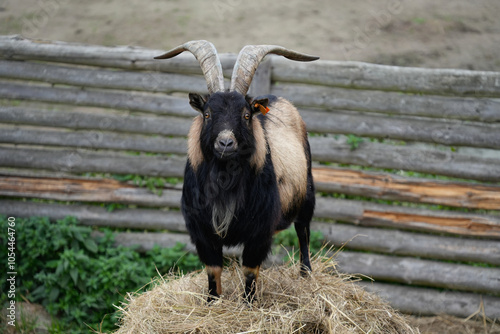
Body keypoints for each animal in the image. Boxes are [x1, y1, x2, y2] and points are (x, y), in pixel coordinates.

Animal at [154, 39, 318, 302]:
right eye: (207, 114)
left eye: (246, 114)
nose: (225, 143)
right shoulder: (202, 230)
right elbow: (213, 270)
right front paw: (212, 302)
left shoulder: (259, 231)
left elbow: (250, 271)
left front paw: (249, 304)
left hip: (307, 196)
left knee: (304, 233)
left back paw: (305, 275)